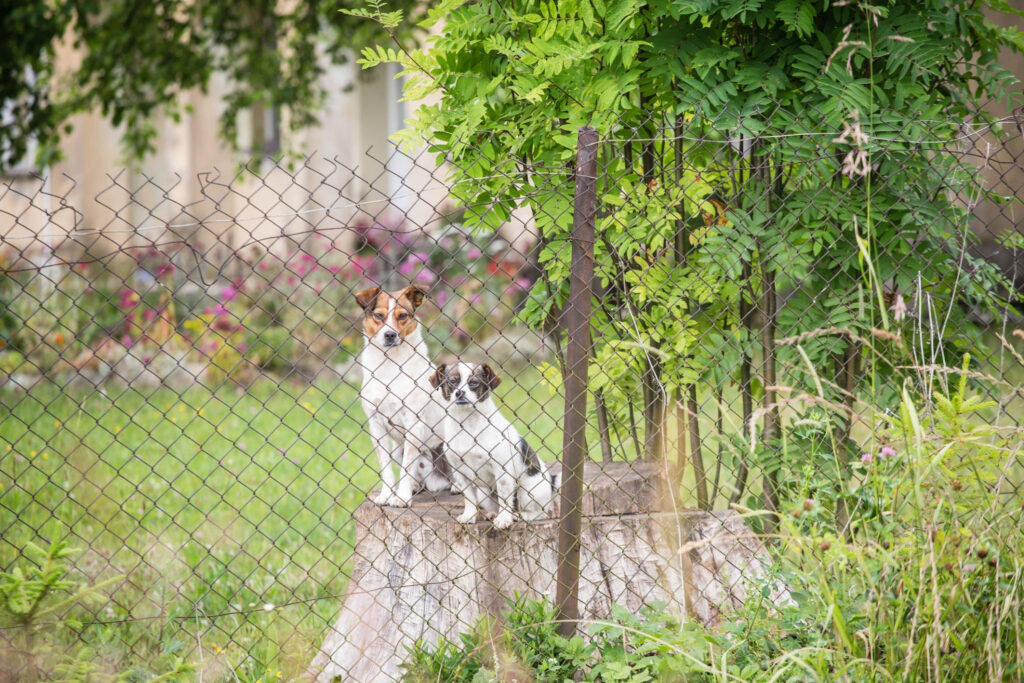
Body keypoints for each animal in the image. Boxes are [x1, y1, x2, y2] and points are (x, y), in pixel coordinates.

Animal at [358, 284, 450, 507]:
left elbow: (407, 467)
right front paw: (386, 495)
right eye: (378, 315)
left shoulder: (413, 423)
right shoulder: (376, 426)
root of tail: (438, 483)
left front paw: (402, 497)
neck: (390, 365)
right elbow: (386, 468)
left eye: (402, 316)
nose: (390, 335)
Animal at [430, 362, 565, 528]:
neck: (467, 424)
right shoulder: (460, 473)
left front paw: (504, 519)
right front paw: (469, 516)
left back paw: (519, 516)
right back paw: (491, 514)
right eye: (452, 382)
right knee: (494, 505)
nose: (459, 393)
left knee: (540, 513)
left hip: (528, 492)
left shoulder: (502, 471)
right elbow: (469, 498)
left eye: (474, 383)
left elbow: (504, 497)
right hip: (484, 494)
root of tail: (551, 480)